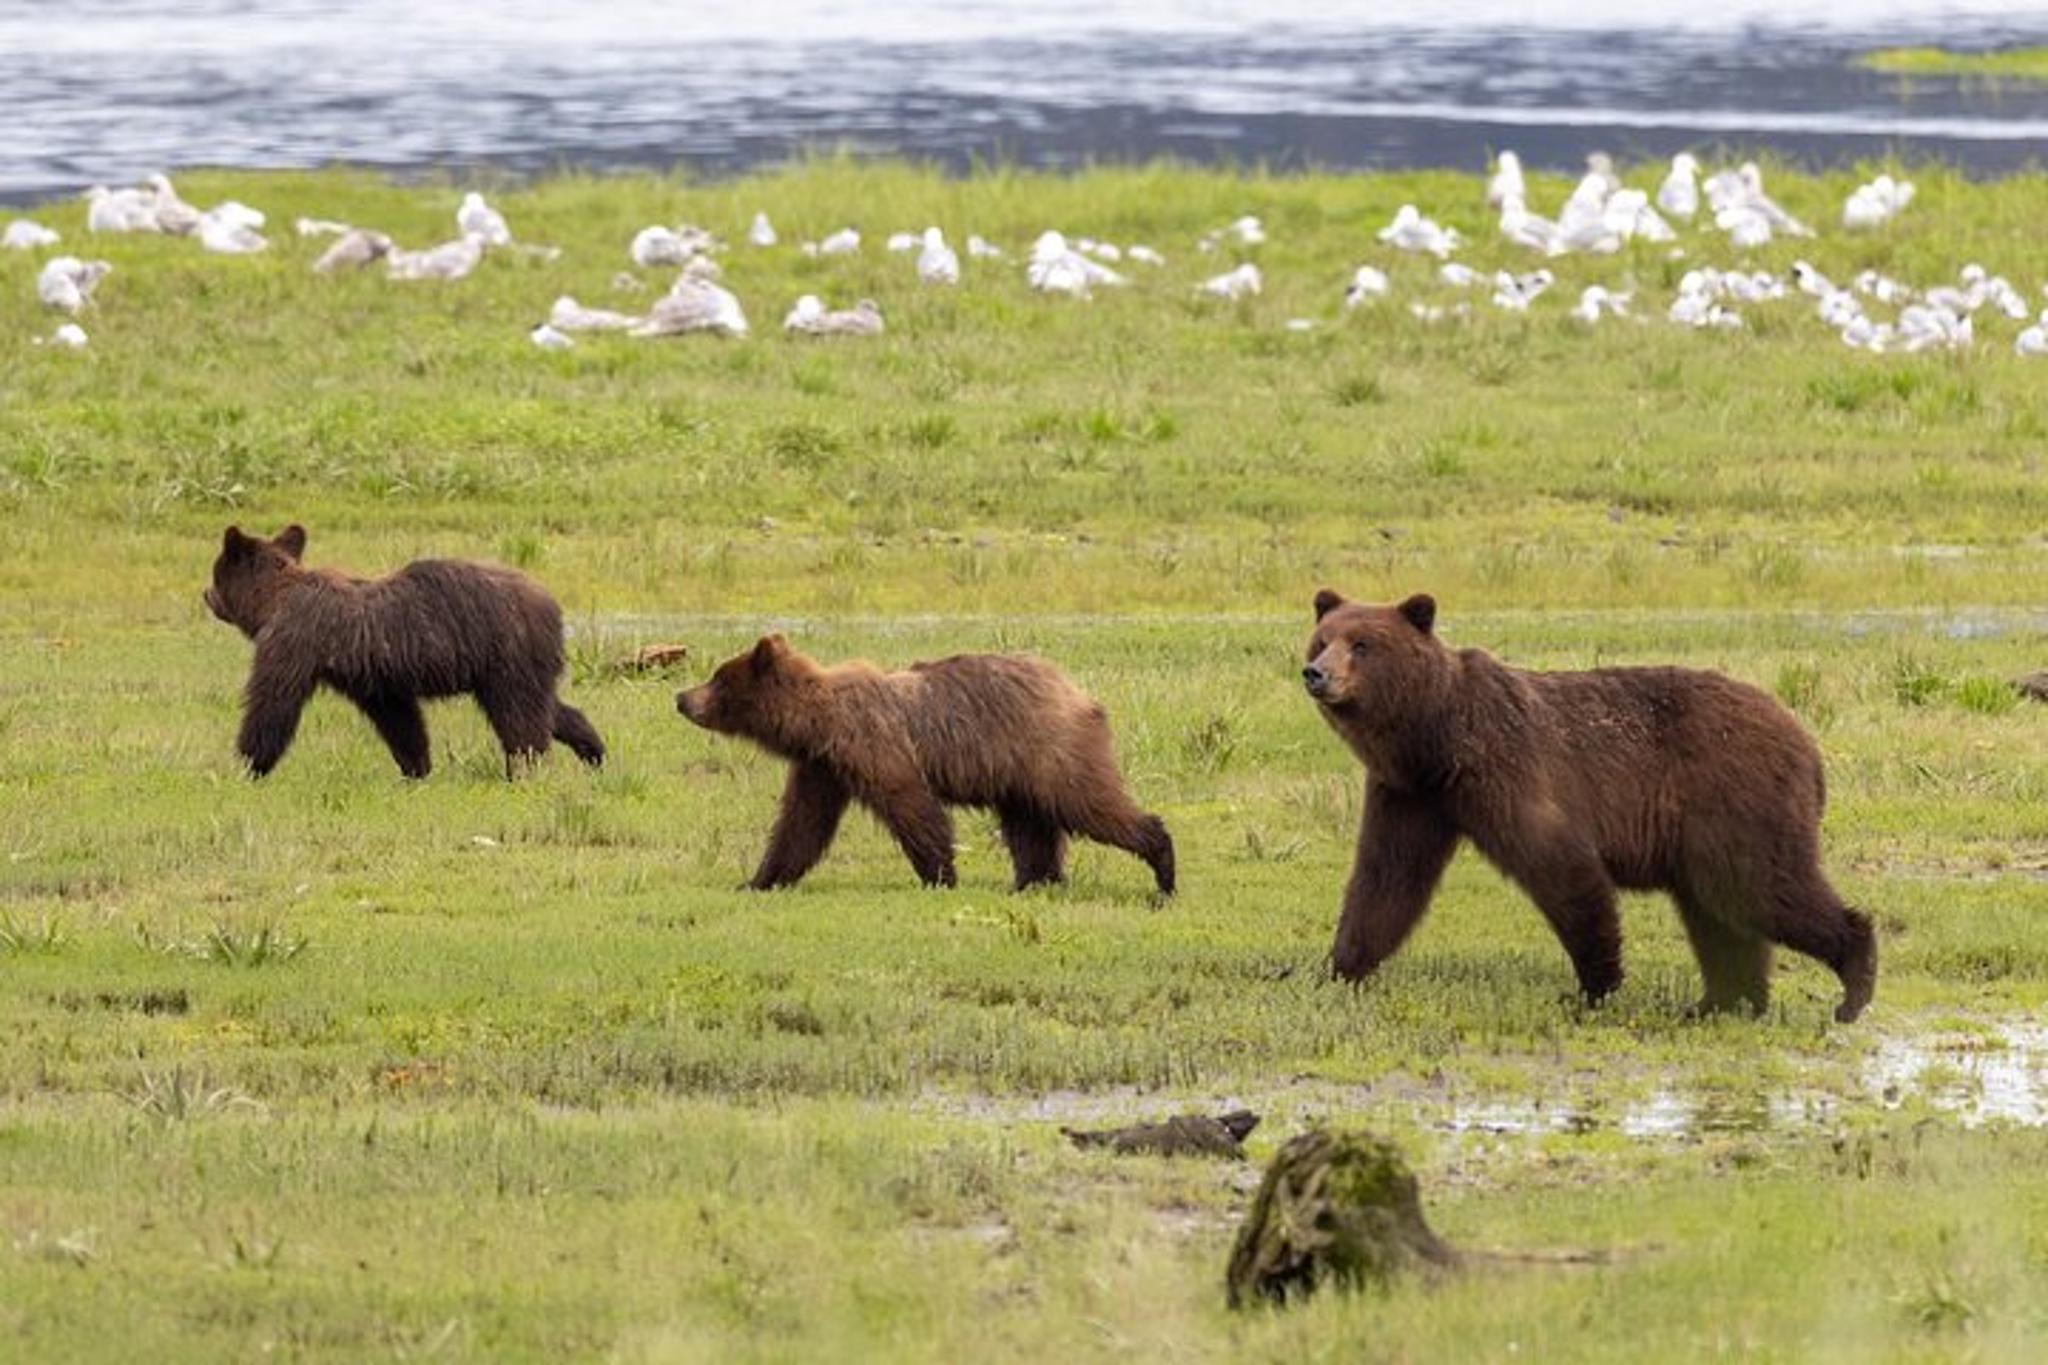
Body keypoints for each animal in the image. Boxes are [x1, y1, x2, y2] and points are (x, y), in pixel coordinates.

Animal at [204, 523, 605, 779]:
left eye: (215, 573)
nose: (206, 595)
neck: (273, 601)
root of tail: (551, 605)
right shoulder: (373, 678)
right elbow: (399, 720)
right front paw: (417, 766)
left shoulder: (294, 641)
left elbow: (274, 700)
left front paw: (247, 764)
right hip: (518, 667)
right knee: (546, 708)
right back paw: (593, 750)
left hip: (505, 656)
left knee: (520, 718)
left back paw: (524, 768)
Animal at [675, 635, 1175, 895]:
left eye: (718, 678)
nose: (681, 697)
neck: (817, 724)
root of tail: (1077, 690)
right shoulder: (822, 767)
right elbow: (801, 826)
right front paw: (760, 879)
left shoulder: (874, 746)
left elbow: (912, 806)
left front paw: (940, 875)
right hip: (1016, 773)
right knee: (1029, 826)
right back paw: (1034, 881)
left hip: (1050, 750)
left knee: (1089, 803)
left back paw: (1162, 868)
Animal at [1303, 590, 1875, 1023]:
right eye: (1322, 638)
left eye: (1363, 645)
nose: (1316, 673)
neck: (1434, 738)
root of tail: (1806, 741)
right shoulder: (1412, 795)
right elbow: (1386, 881)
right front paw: (1336, 970)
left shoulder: (1505, 770)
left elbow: (1561, 865)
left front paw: (1594, 986)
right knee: (1719, 913)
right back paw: (1721, 1002)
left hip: (1734, 799)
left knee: (1762, 889)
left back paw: (1852, 984)